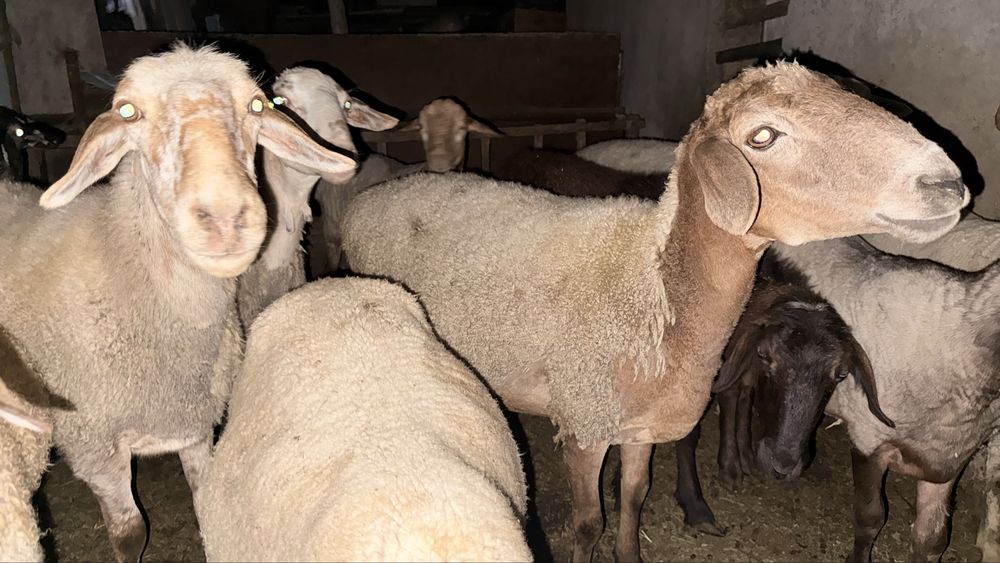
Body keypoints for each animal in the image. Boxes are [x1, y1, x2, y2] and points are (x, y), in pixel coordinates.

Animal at [0, 44, 356, 562]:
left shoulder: (197, 425)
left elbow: (207, 506)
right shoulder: (95, 447)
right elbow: (130, 534)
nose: (225, 219)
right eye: (128, 111)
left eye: (257, 105)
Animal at [341, 62, 969, 562]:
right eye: (763, 136)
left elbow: (633, 500)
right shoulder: (588, 424)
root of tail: (386, 192)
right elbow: (588, 524)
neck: (656, 293)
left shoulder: (640, 429)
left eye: (839, 376)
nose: (947, 182)